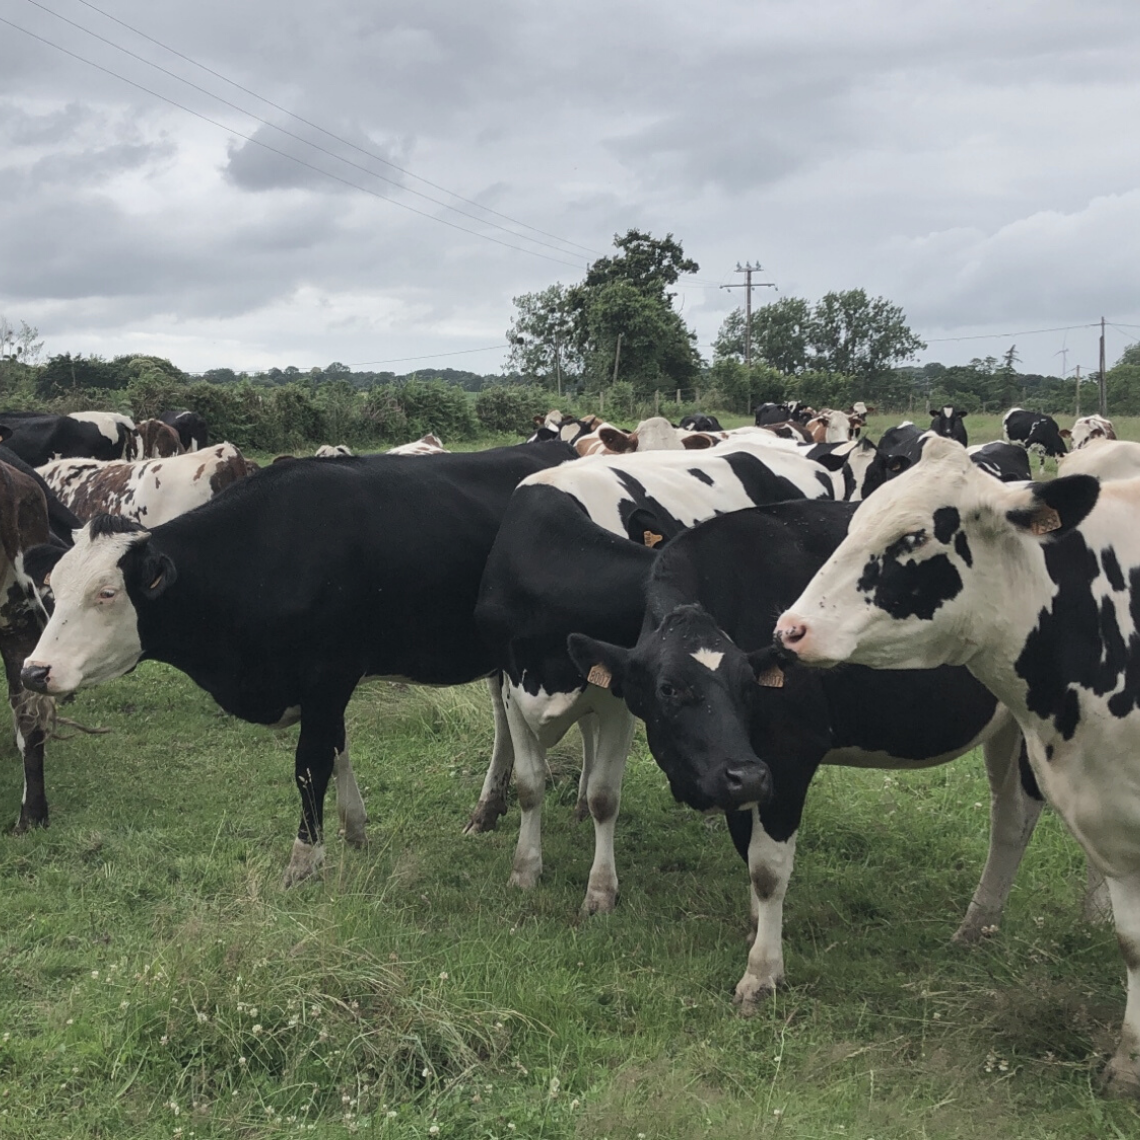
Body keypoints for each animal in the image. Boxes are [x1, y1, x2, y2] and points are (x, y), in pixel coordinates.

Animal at [470, 441, 864, 914]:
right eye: (670, 688)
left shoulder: (617, 698)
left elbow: (605, 795)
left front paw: (600, 890)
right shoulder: (516, 684)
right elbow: (530, 785)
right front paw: (525, 871)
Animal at [566, 501, 1051, 1012]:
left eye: (748, 685)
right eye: (668, 688)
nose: (746, 776)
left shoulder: (787, 755)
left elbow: (767, 869)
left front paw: (762, 973)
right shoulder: (746, 769)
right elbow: (746, 848)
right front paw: (757, 927)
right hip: (1009, 726)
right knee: (1011, 817)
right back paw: (979, 927)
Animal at [773, 434, 1140, 1096]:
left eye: (915, 536)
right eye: (856, 520)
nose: (792, 629)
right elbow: (1134, 942)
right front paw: (1128, 1064)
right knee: (1013, 818)